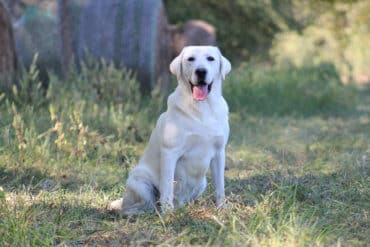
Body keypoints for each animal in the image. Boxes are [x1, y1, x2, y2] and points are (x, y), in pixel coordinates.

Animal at [109, 45, 231, 215]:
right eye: (190, 59)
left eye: (210, 58)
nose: (201, 71)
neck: (202, 108)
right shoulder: (170, 152)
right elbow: (167, 187)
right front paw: (168, 214)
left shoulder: (219, 153)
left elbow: (220, 186)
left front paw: (222, 208)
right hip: (138, 180)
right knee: (143, 204)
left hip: (202, 183)